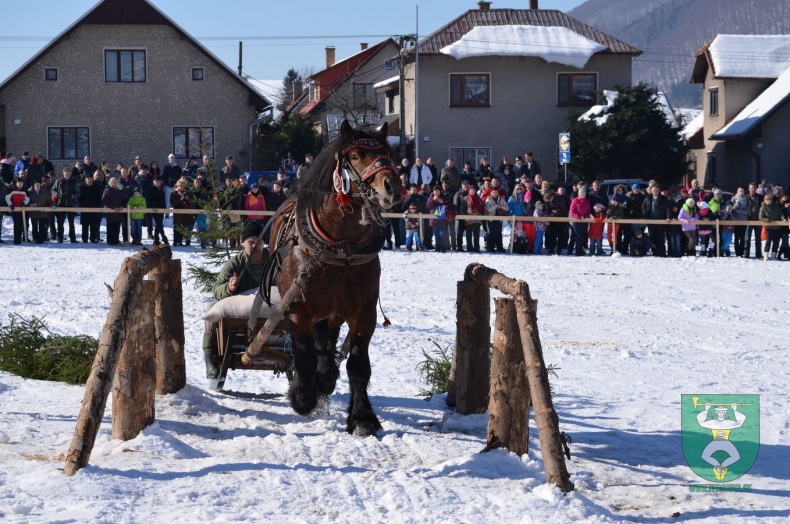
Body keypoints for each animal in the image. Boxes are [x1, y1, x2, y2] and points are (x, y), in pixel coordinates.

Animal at [266, 121, 402, 436]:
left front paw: (362, 418)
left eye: (388, 153)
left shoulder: (363, 311)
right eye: (354, 155)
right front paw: (303, 397)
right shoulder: (297, 310)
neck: (341, 246)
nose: (392, 187)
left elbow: (358, 363)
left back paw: (326, 375)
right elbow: (304, 355)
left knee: (327, 338)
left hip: (334, 310)